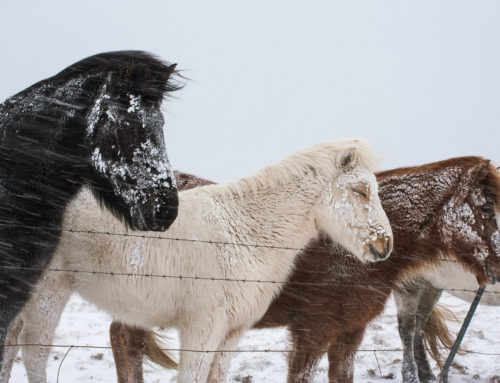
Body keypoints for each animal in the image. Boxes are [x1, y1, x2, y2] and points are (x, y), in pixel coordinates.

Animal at [2, 139, 394, 383]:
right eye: (360, 190)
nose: (384, 245)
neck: (244, 232)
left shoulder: (230, 334)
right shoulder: (200, 330)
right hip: (48, 291)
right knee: (33, 350)